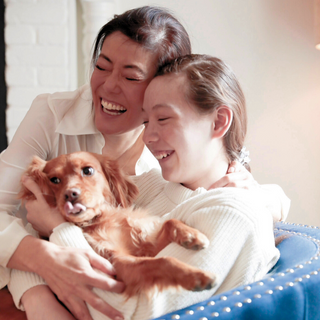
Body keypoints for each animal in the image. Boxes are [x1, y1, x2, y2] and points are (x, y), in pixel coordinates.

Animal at [19, 151, 215, 296]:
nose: (70, 194)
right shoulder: (118, 264)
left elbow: (169, 223)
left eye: (87, 170)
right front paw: (196, 276)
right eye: (54, 180)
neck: (103, 219)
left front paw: (191, 235)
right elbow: (163, 261)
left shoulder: (145, 248)